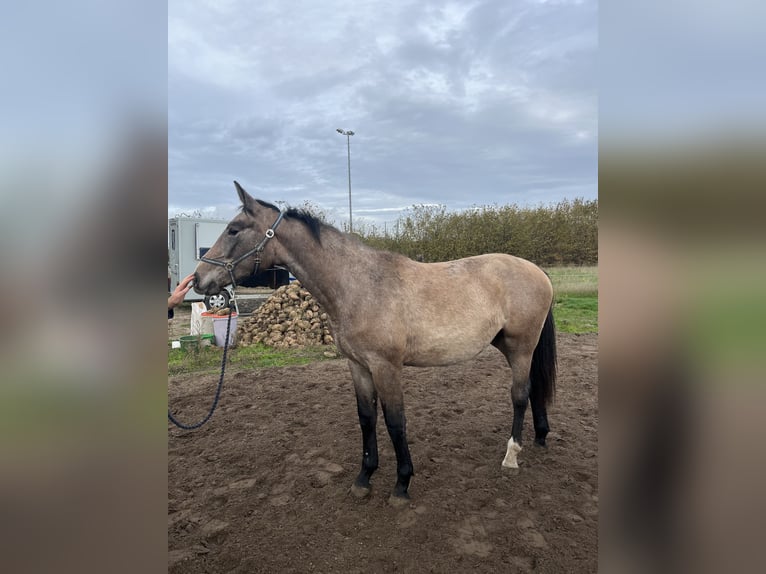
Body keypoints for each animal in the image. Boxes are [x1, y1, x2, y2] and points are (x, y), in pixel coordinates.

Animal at [193, 181, 557, 507]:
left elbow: (395, 422)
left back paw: (511, 456)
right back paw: (540, 436)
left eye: (234, 230)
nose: (198, 279)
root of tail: (537, 271)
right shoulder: (358, 365)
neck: (360, 286)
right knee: (533, 390)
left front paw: (401, 484)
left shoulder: (386, 367)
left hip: (521, 347)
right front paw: (364, 478)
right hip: (510, 346)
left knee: (519, 395)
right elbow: (366, 418)